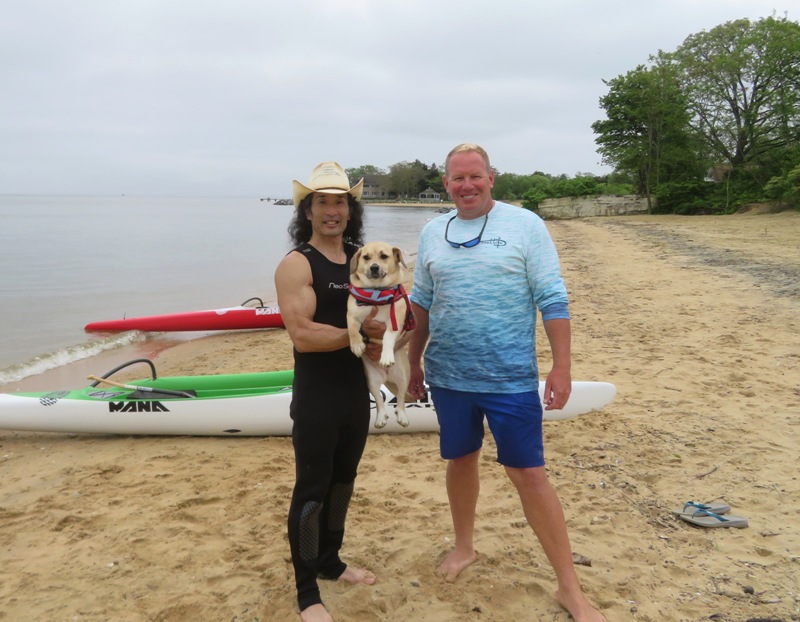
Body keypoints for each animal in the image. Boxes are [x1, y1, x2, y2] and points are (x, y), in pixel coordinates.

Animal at [346, 243, 416, 428]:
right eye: (366, 257)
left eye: (384, 256)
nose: (374, 267)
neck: (376, 293)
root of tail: (387, 377)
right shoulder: (351, 314)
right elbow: (352, 329)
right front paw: (357, 345)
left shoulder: (395, 323)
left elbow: (387, 337)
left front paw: (385, 356)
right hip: (371, 380)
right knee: (378, 399)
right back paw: (380, 417)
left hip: (403, 377)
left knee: (400, 398)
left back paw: (402, 416)